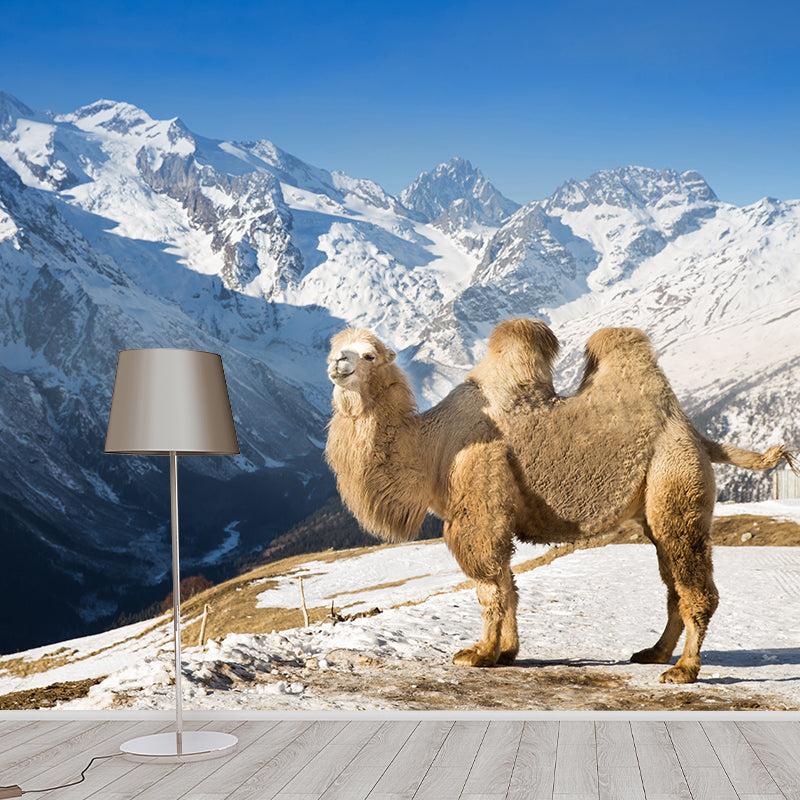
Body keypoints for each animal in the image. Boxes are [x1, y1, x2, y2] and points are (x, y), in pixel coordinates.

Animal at [325, 322, 793, 683]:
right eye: (335, 346)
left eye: (369, 355)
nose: (336, 364)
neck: (432, 446)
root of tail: (695, 433)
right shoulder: (495, 514)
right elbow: (509, 584)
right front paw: (507, 653)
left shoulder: (478, 503)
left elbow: (489, 586)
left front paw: (479, 654)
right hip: (657, 505)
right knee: (672, 583)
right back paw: (654, 653)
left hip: (675, 480)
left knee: (694, 583)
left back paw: (683, 670)